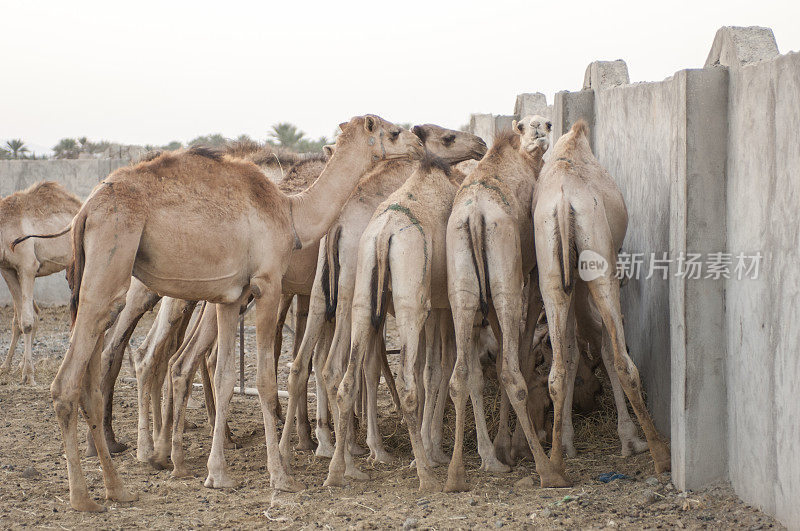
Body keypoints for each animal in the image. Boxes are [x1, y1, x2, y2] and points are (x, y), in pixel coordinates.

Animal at [0, 181, 82, 384]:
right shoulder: (8, 269)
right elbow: (19, 319)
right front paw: (6, 367)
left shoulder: (27, 265)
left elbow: (28, 321)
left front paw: (28, 374)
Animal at [48, 115, 424, 512]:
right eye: (392, 131)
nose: (416, 143)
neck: (291, 213)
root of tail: (84, 211)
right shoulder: (268, 285)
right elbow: (266, 380)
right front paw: (282, 477)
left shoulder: (231, 298)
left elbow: (226, 376)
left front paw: (218, 475)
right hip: (111, 262)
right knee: (69, 381)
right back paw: (84, 496)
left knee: (98, 376)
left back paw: (120, 486)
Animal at [280, 124, 488, 466]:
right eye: (447, 138)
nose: (481, 143)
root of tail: (336, 228)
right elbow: (414, 366)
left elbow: (376, 365)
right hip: (350, 292)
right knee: (332, 365)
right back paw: (353, 450)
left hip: (322, 294)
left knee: (303, 363)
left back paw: (306, 446)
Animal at [446, 118, 572, 492]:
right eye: (526, 125)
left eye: (547, 123)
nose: (539, 131)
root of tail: (475, 216)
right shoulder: (528, 273)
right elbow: (521, 347)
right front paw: (512, 447)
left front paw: (502, 449)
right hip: (506, 282)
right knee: (510, 372)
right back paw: (547, 470)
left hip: (463, 290)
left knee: (460, 374)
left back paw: (456, 476)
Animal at [536, 121, 672, 478]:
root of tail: (564, 200)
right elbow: (607, 351)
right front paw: (629, 439)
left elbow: (571, 354)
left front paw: (569, 443)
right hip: (599, 261)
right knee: (622, 358)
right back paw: (659, 453)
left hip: (551, 274)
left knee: (557, 369)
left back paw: (556, 468)